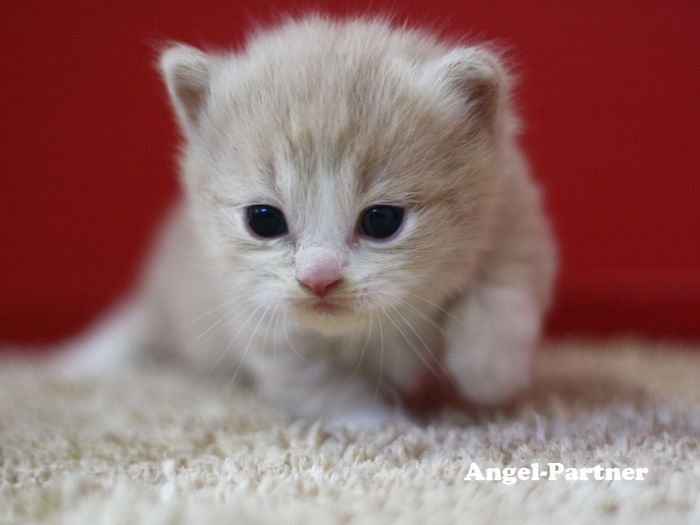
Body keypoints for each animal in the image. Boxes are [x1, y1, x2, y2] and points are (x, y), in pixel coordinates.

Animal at [57, 16, 556, 424]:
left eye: (382, 221)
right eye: (264, 221)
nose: (318, 279)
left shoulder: (515, 207)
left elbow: (502, 287)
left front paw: (490, 371)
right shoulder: (264, 324)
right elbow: (325, 389)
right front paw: (380, 427)